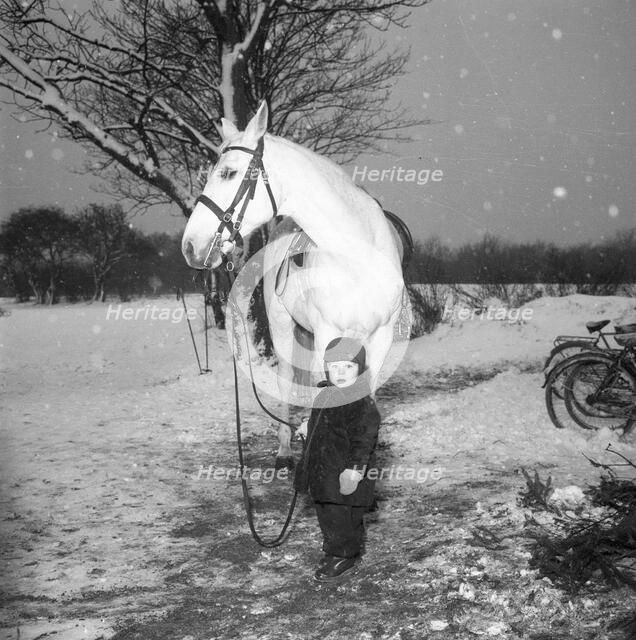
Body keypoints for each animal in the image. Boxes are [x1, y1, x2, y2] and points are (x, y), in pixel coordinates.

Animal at [182, 101, 410, 468]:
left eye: (229, 173)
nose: (190, 246)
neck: (357, 255)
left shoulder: (381, 336)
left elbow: (366, 393)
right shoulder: (326, 336)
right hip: (284, 329)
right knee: (289, 381)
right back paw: (286, 448)